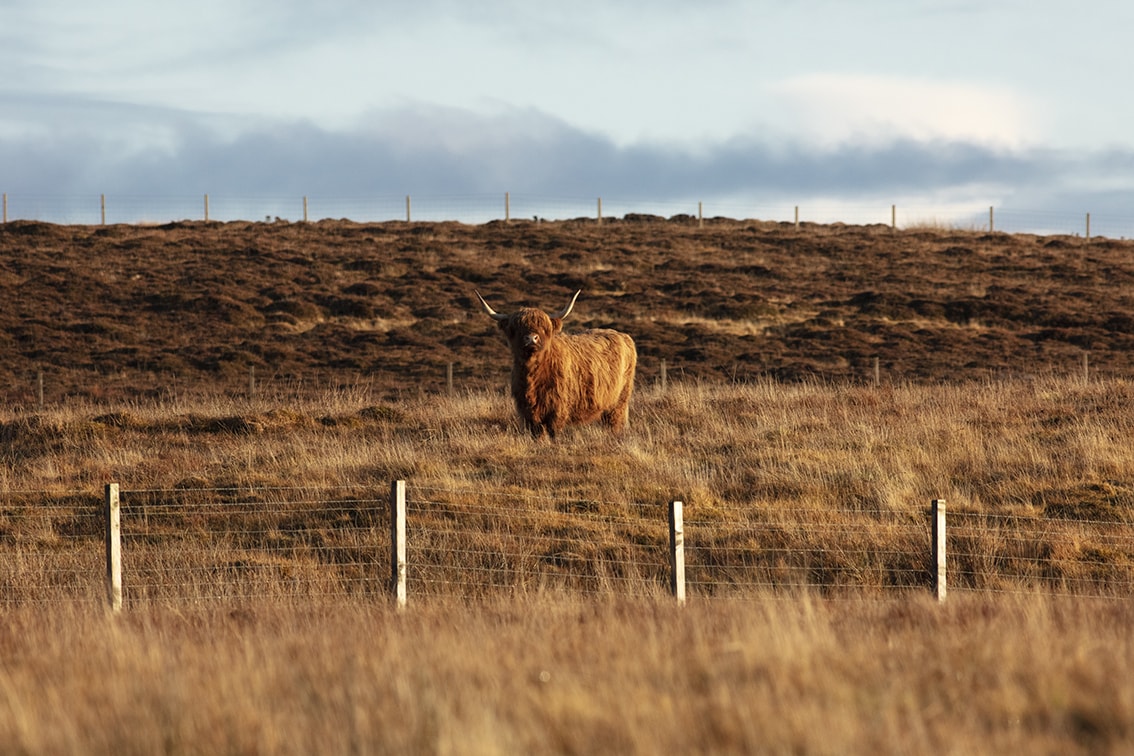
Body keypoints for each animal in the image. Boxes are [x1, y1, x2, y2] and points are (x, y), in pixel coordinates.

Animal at [474, 292, 639, 444]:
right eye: (517, 327)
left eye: (543, 327)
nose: (531, 338)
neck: (532, 375)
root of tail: (622, 335)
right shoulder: (526, 411)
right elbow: (537, 434)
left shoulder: (558, 408)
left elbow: (553, 432)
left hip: (619, 402)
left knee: (615, 423)